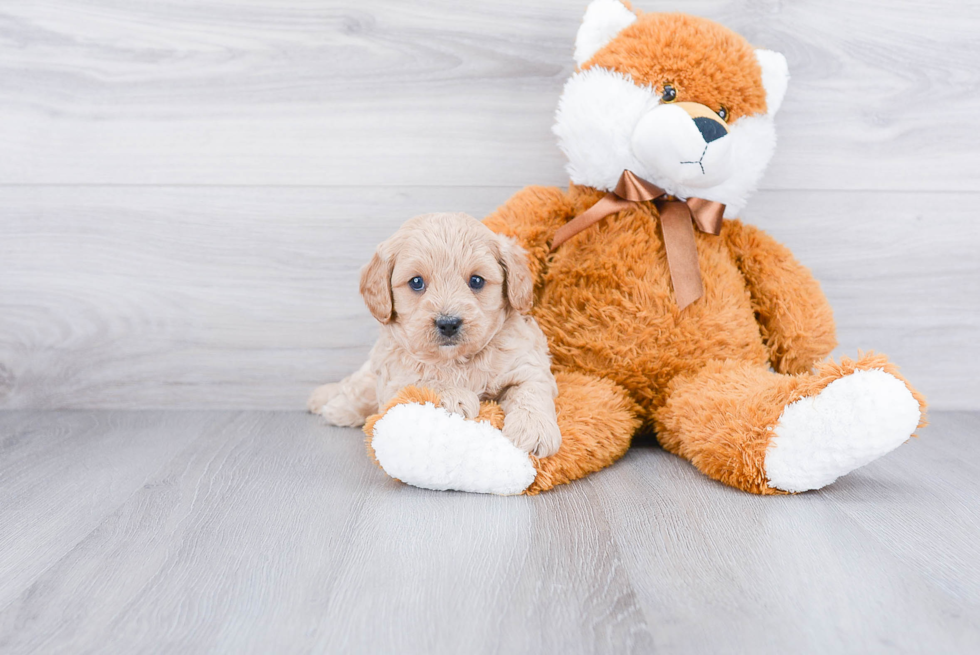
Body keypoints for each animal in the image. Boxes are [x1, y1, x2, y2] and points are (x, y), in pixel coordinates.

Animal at [310, 213, 564, 458]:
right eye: (416, 282)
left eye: (476, 281)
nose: (448, 324)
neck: (455, 360)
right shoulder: (395, 380)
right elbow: (424, 381)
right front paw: (456, 397)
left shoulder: (526, 365)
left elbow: (531, 391)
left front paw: (535, 428)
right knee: (354, 387)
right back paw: (331, 404)